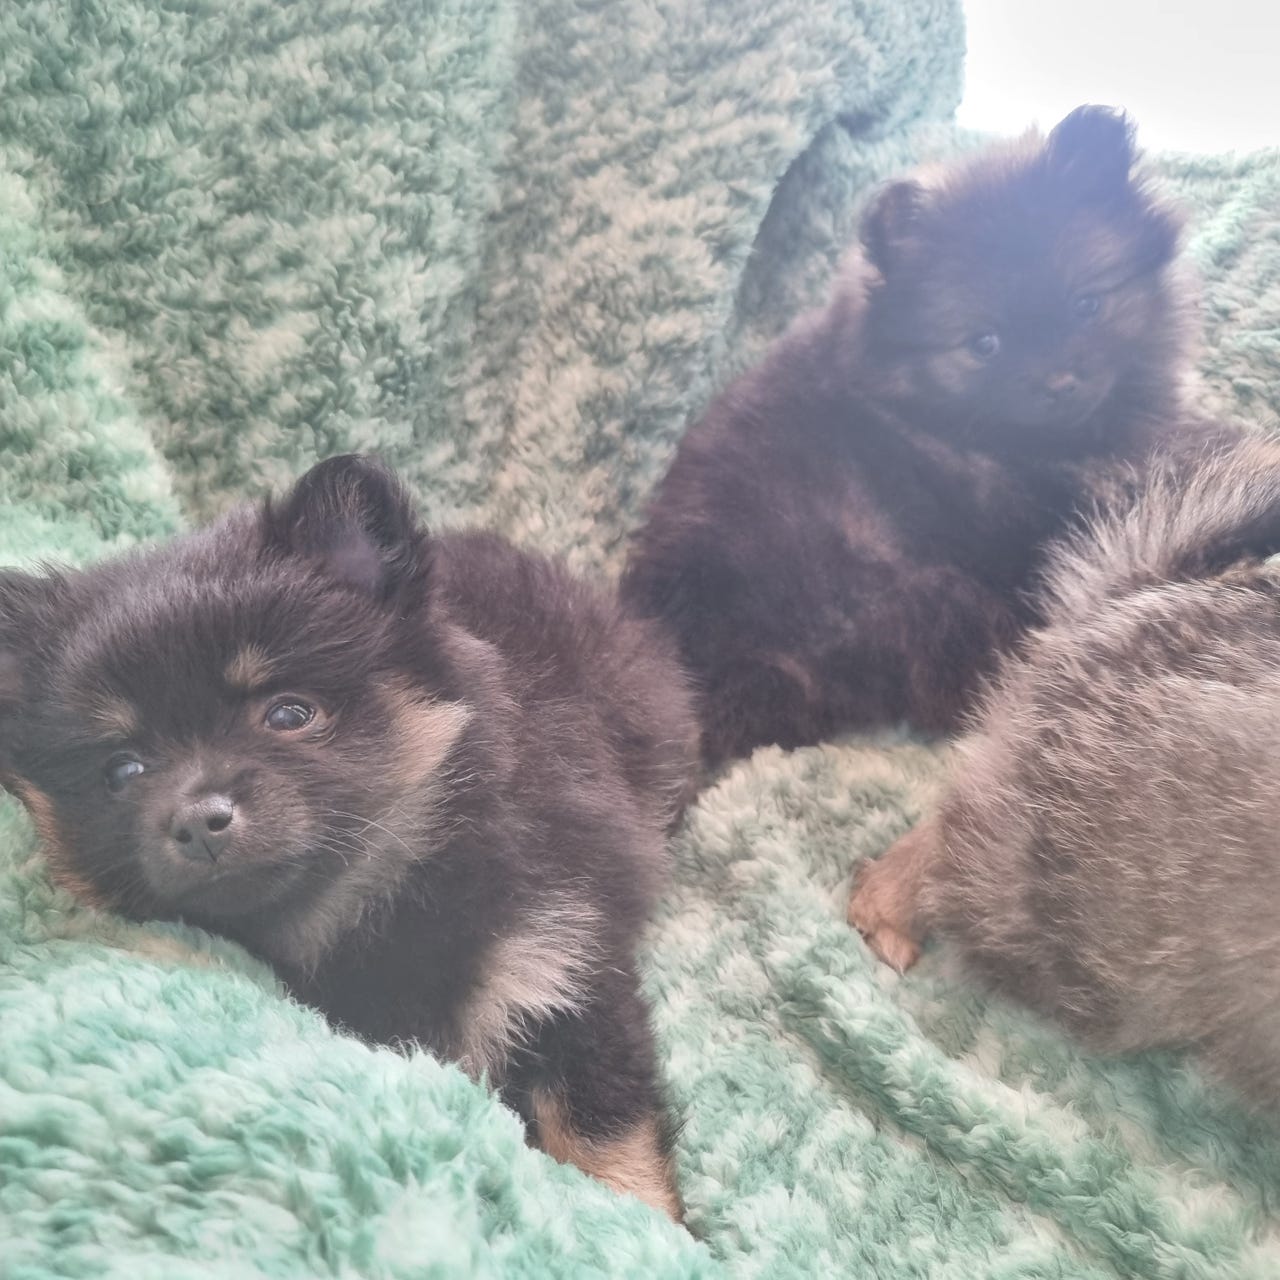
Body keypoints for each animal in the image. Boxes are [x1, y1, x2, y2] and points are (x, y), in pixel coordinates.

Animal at [0, 454, 698, 1218]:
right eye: (122, 770)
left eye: (289, 714)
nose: (198, 816)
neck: (374, 911)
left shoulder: (569, 962)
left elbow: (600, 1125)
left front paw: (640, 1219)